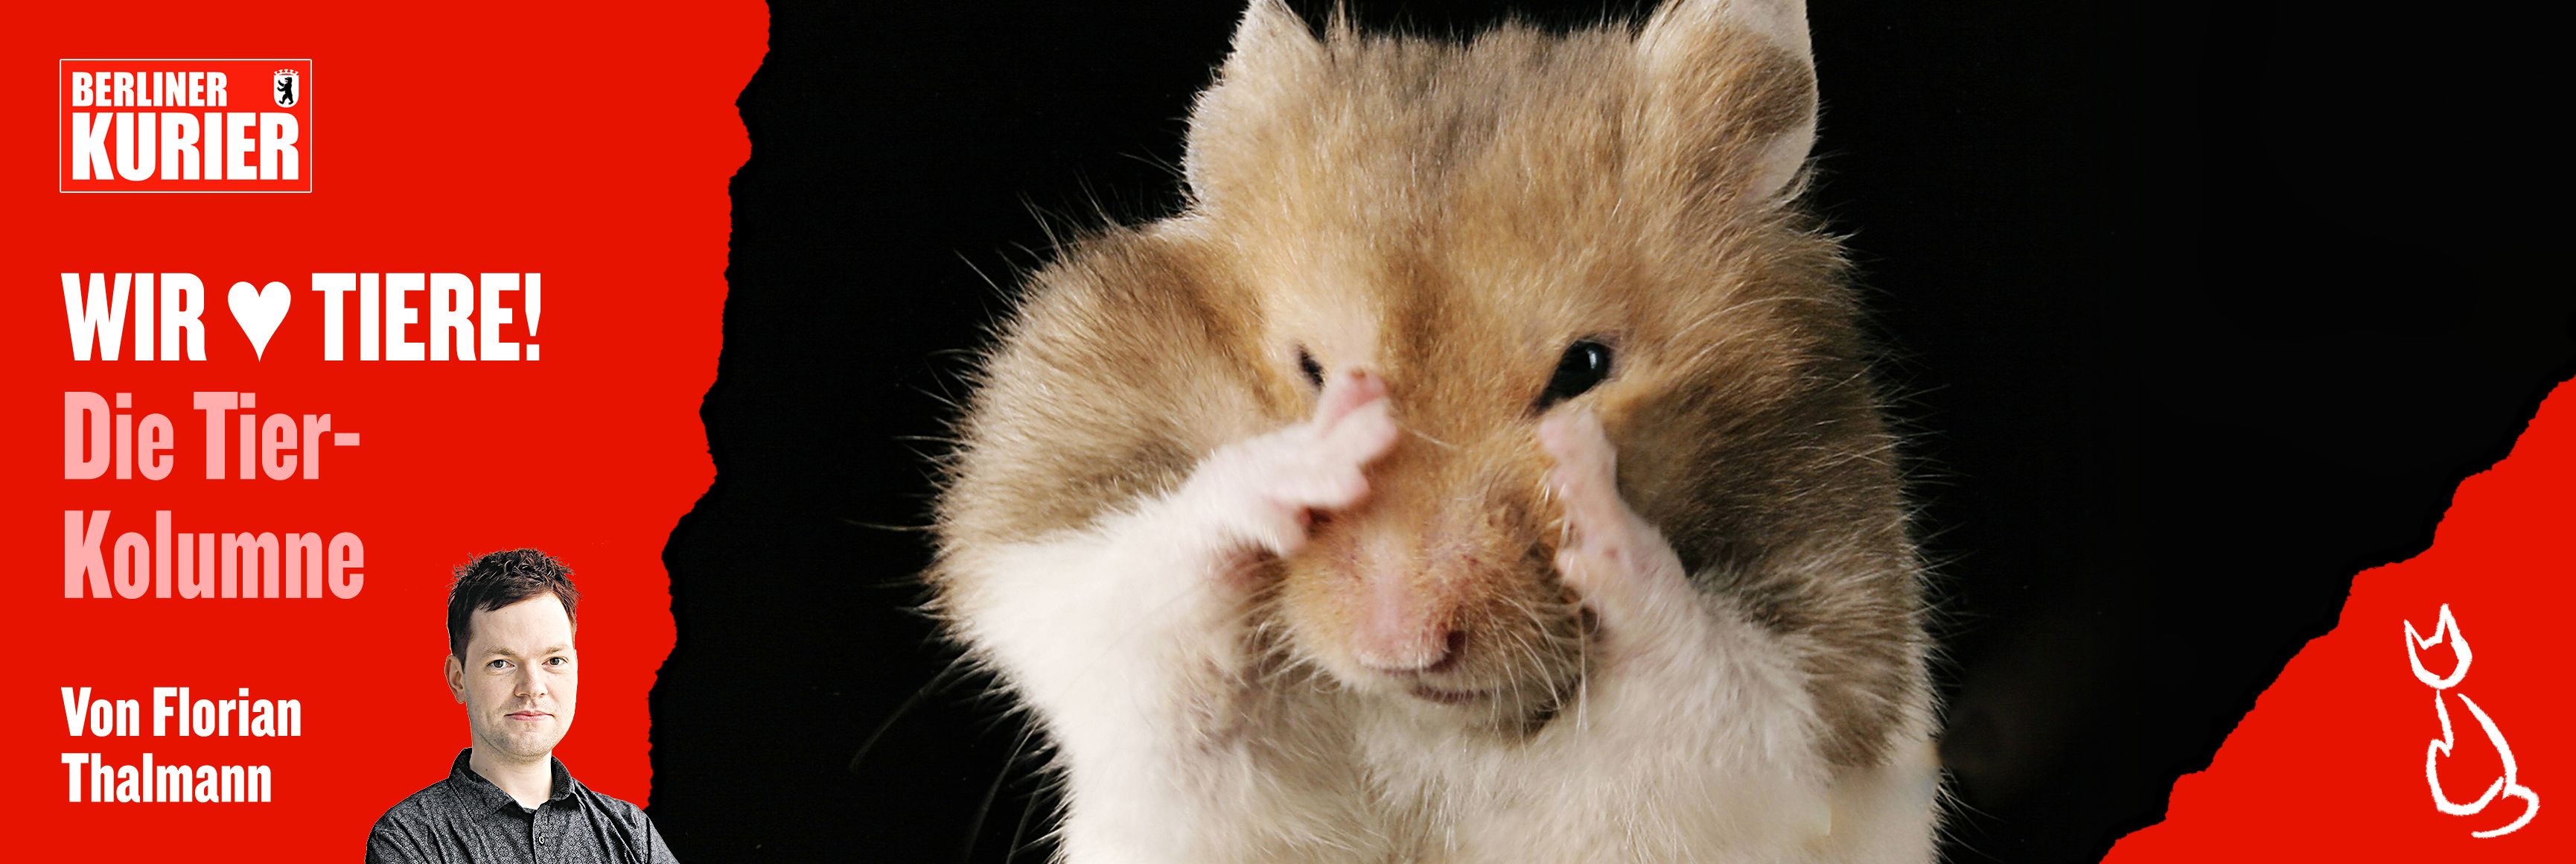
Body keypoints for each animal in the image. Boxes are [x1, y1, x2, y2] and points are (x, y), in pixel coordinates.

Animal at [928, 1, 1941, 860]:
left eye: (1584, 369)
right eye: (1311, 369)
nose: (1399, 646)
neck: (1430, 720)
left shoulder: (1809, 706)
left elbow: (1714, 682)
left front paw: (1595, 503)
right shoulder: (1078, 604)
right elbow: (1133, 586)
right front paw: (1297, 463)